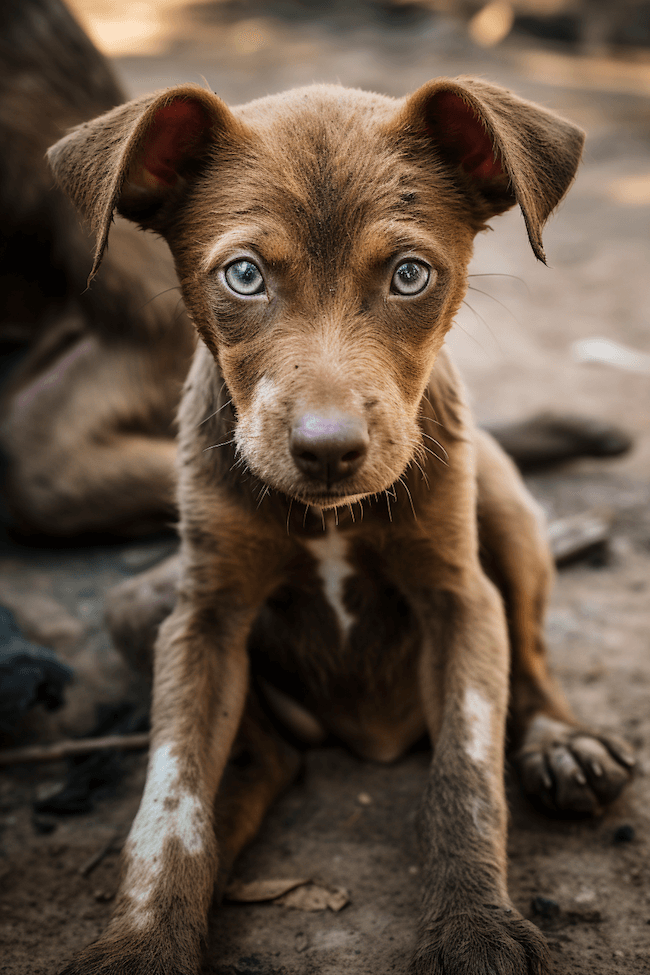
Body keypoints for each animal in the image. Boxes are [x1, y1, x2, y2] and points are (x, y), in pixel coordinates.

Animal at [48, 78, 632, 975]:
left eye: (410, 275)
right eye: (244, 275)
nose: (328, 452)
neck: (327, 516)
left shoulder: (459, 597)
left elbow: (466, 772)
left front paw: (475, 927)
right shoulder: (203, 617)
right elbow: (170, 795)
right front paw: (144, 940)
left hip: (500, 499)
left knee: (530, 656)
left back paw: (560, 742)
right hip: (140, 606)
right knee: (265, 758)